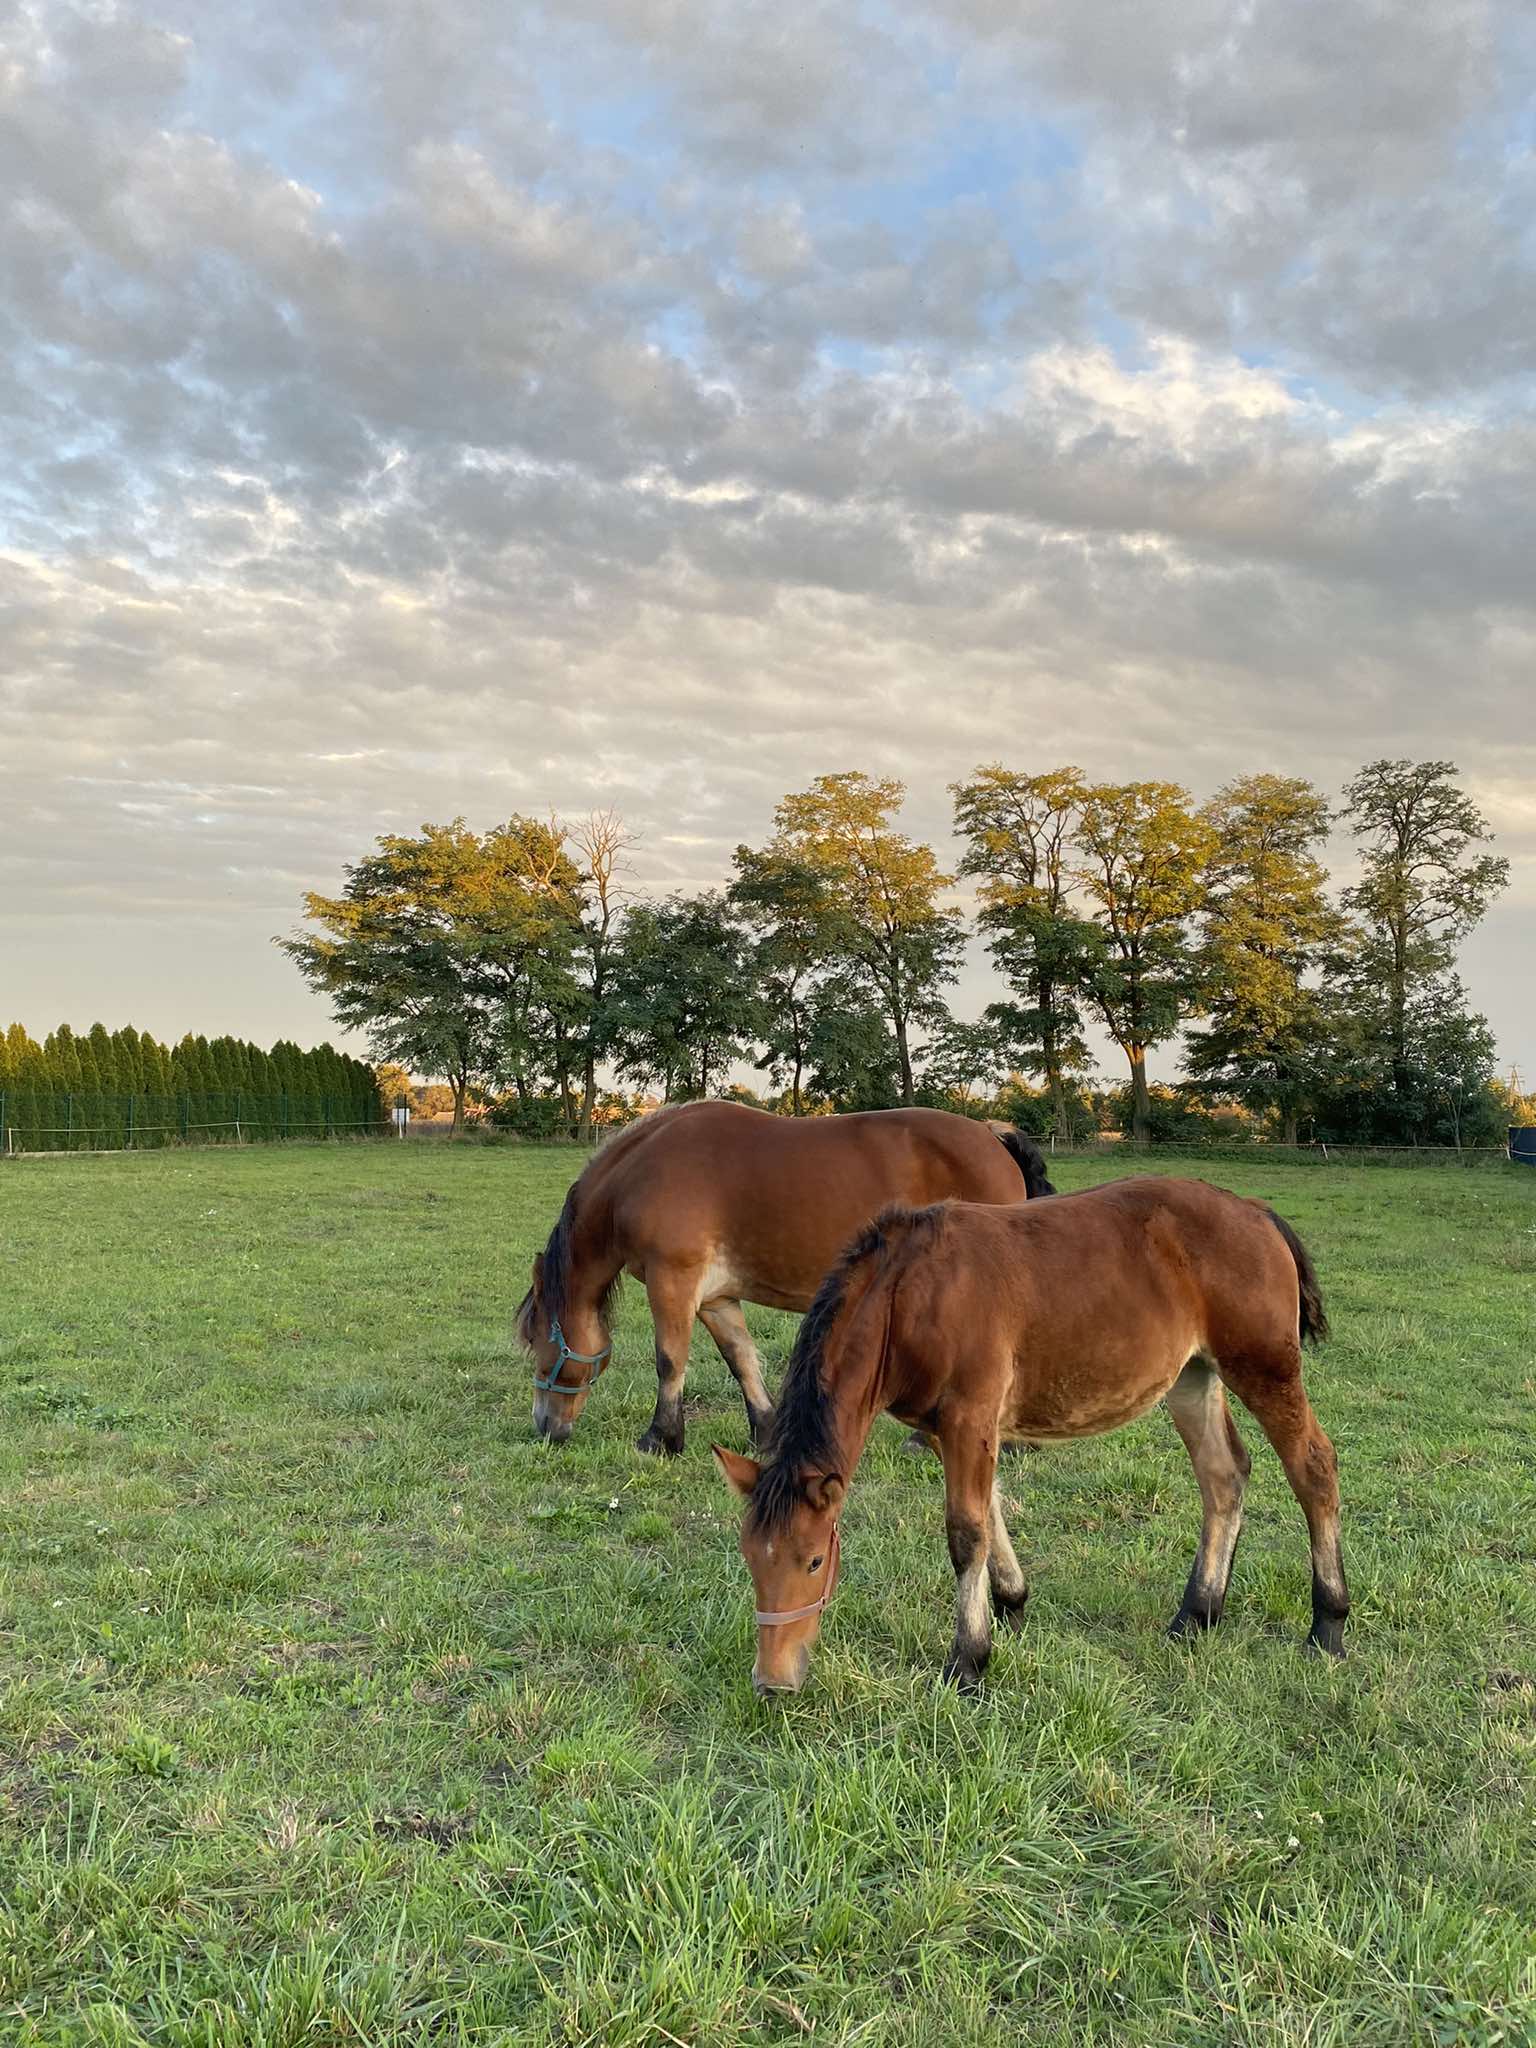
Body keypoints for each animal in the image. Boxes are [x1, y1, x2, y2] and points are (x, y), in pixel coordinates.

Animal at [716, 1179, 1351, 1687]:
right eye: (748, 1558)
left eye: (813, 1562)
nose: (773, 1682)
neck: (908, 1296)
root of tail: (1253, 1210)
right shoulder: (953, 1428)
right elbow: (989, 1512)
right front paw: (1011, 1607)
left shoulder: (970, 1415)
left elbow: (965, 1531)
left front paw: (968, 1661)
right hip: (1193, 1378)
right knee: (1223, 1478)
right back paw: (1195, 1616)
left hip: (1265, 1370)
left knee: (1313, 1468)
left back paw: (1327, 1626)